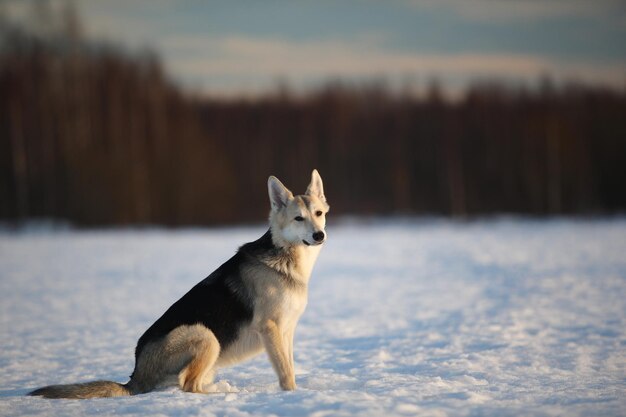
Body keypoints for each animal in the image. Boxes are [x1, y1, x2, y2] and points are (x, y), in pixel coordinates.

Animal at [29, 168, 330, 396]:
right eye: (298, 218)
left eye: (318, 214)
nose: (319, 235)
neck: (286, 258)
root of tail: (135, 378)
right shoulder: (270, 329)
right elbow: (286, 374)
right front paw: (291, 397)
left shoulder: (286, 332)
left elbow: (289, 368)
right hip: (205, 335)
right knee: (188, 384)